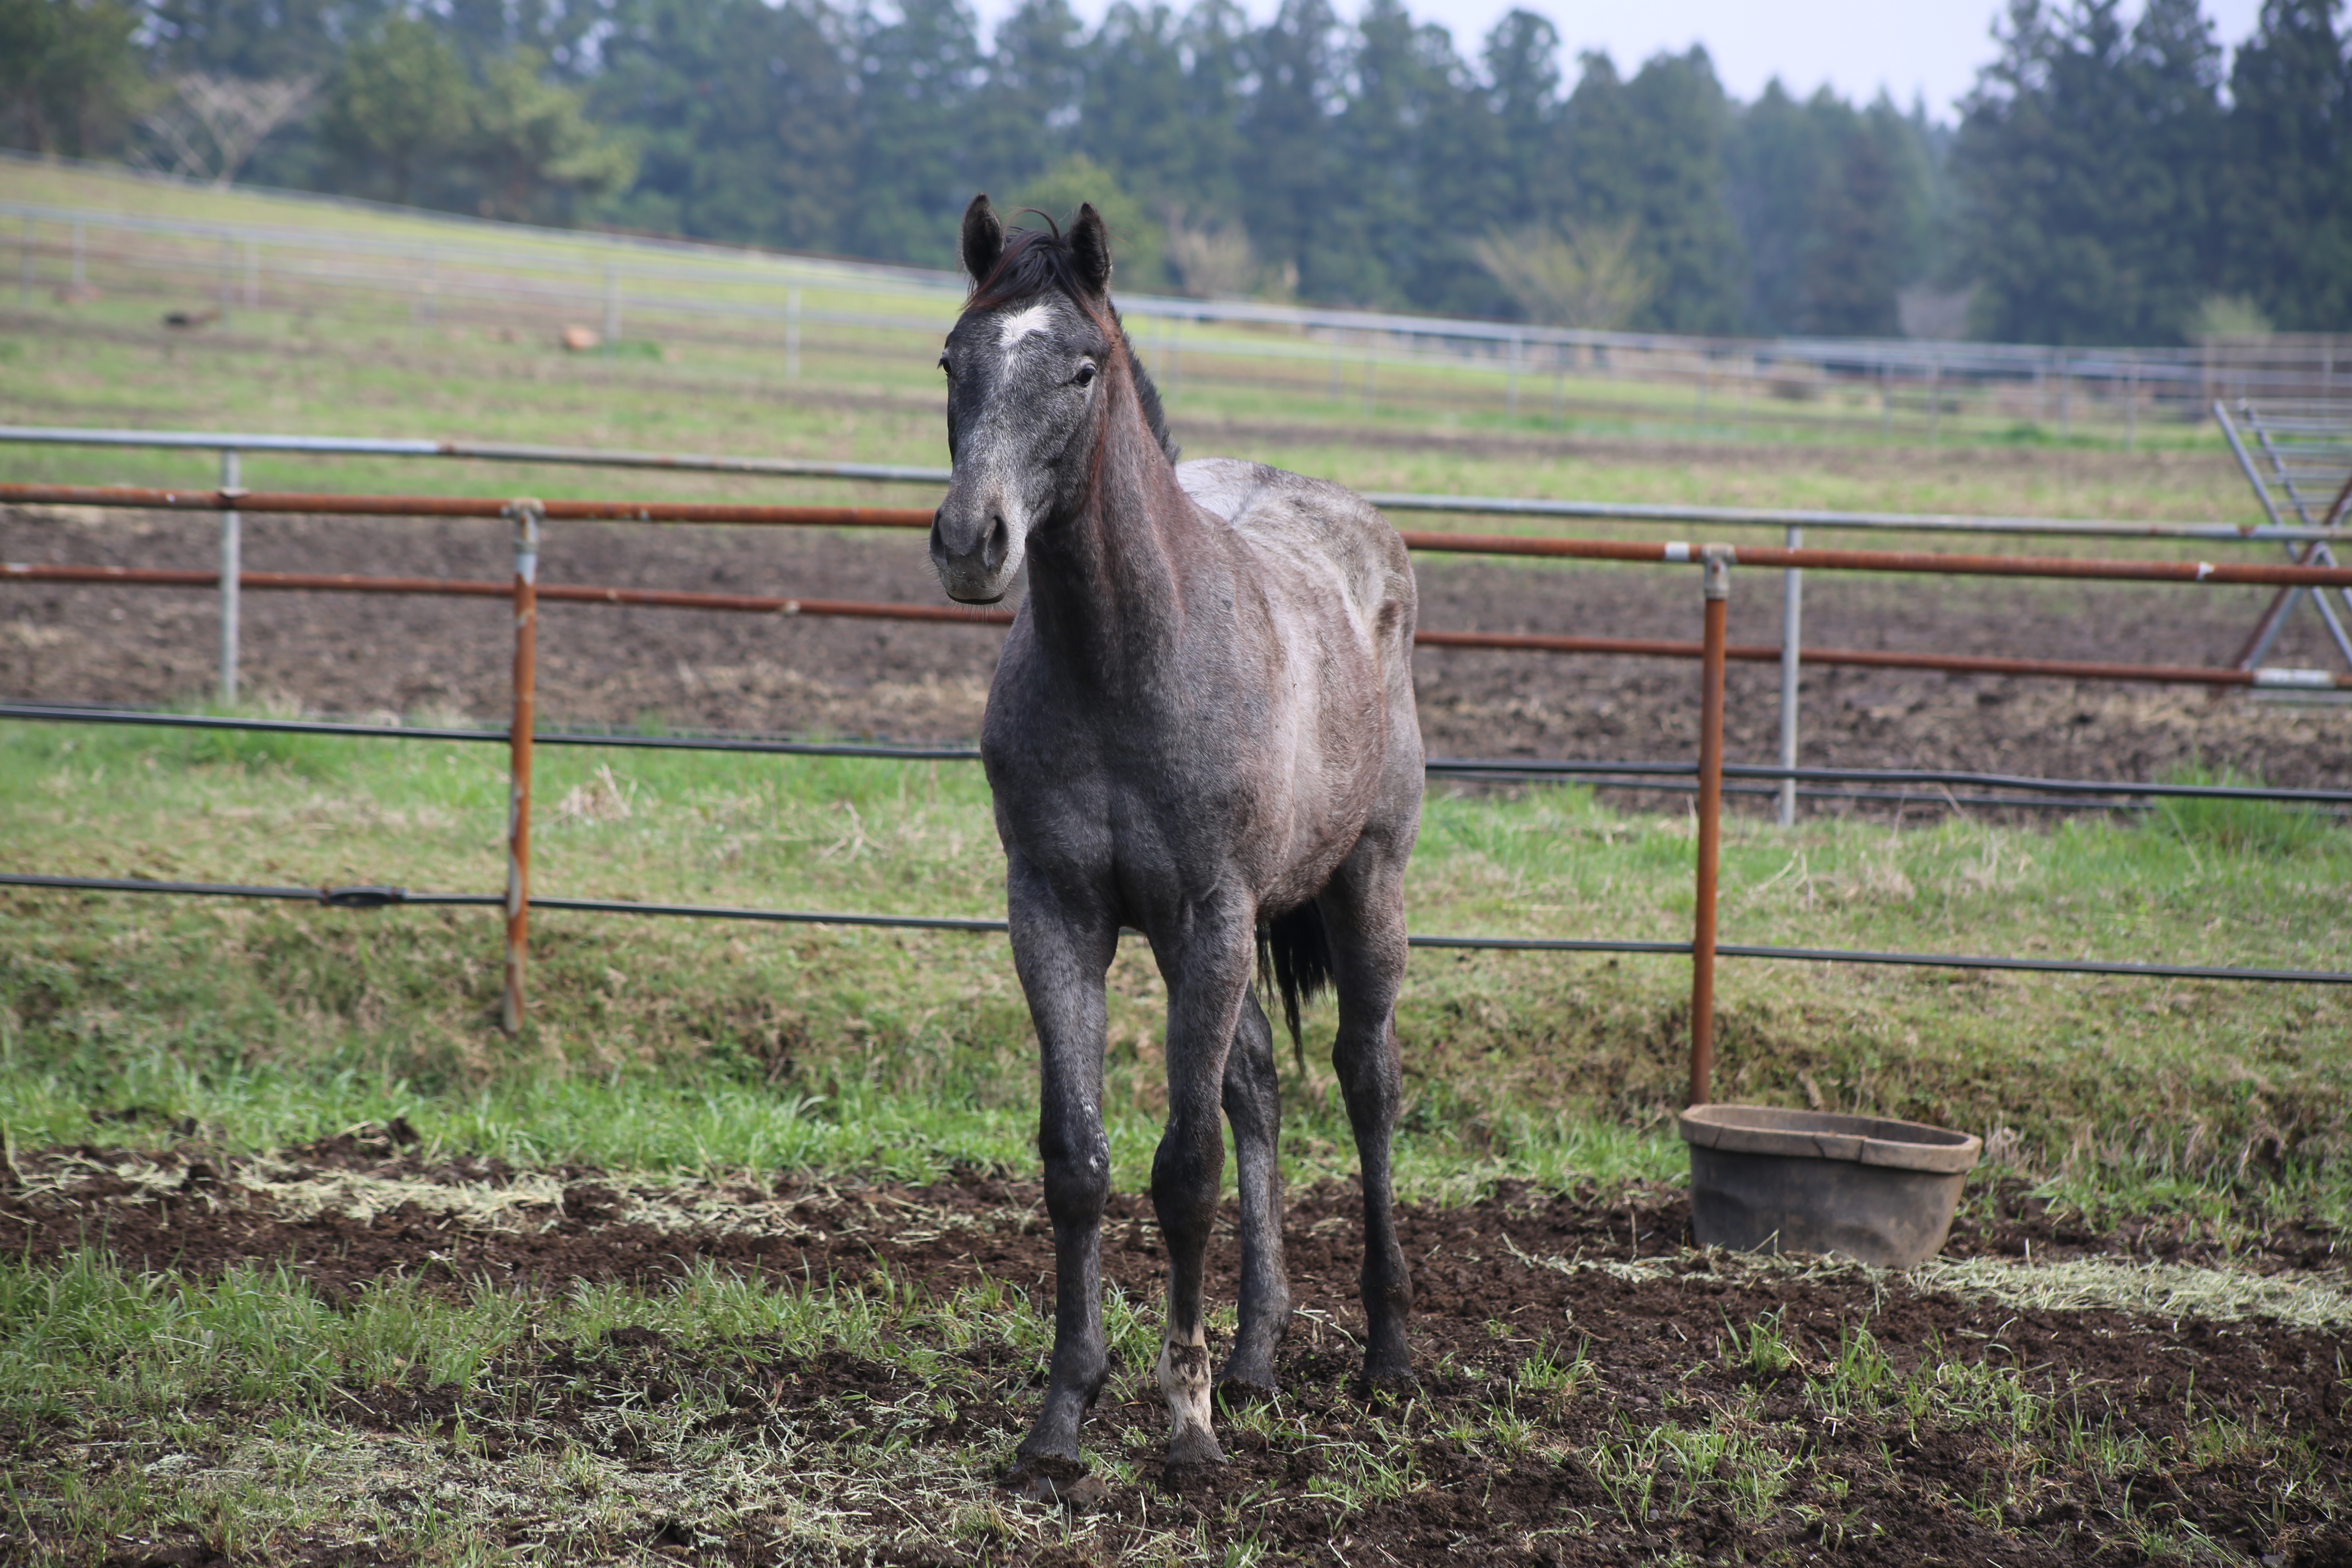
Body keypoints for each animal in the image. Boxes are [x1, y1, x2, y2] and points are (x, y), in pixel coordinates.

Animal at [927, 200, 1421, 1495]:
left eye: (1080, 368)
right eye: (952, 359)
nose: (971, 542)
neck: (1127, 662)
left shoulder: (1211, 912)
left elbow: (1183, 1169)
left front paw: (1184, 1424)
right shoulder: (1058, 912)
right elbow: (1080, 1163)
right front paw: (1063, 1416)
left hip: (1365, 887)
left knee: (1365, 1082)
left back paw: (1386, 1353)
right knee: (1257, 1091)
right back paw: (1253, 1357)